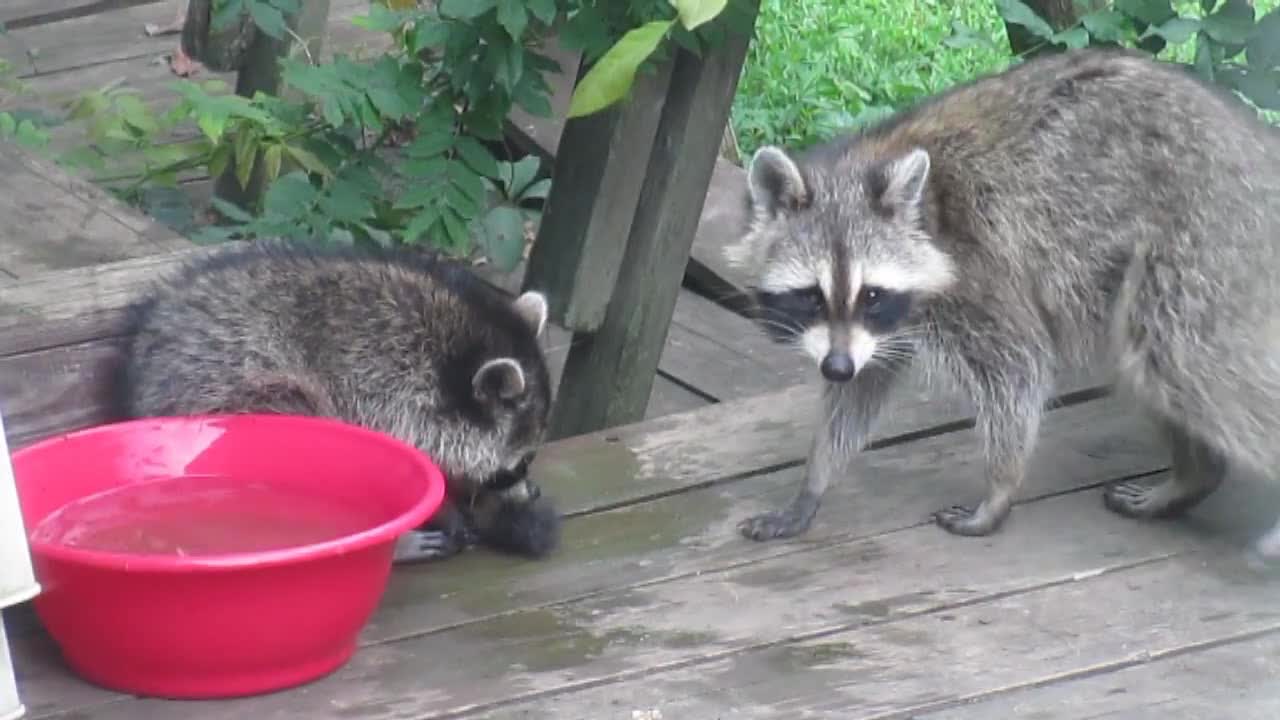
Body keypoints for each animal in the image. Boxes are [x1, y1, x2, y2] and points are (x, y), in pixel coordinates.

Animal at [112, 239, 563, 561]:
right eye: (519, 464)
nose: (531, 493)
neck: (453, 356)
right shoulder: (382, 393)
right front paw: (443, 504)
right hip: (244, 396)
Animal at [727, 47, 1280, 563]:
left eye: (872, 294)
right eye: (811, 296)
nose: (835, 367)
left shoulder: (976, 270)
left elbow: (1017, 368)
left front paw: (1000, 487)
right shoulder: (880, 330)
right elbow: (864, 387)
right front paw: (815, 478)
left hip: (1204, 238)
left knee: (1186, 358)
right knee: (1146, 362)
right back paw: (1195, 475)